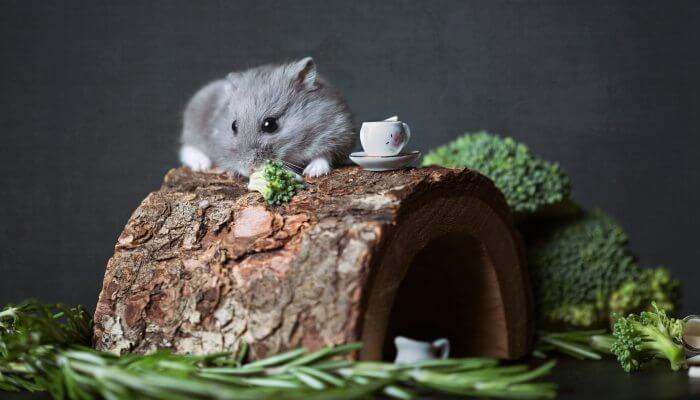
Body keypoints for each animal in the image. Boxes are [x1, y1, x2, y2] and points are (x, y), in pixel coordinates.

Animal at [179, 57, 356, 177]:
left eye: (270, 124)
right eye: (233, 126)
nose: (248, 170)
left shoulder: (339, 131)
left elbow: (324, 155)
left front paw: (312, 172)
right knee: (188, 148)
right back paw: (201, 165)